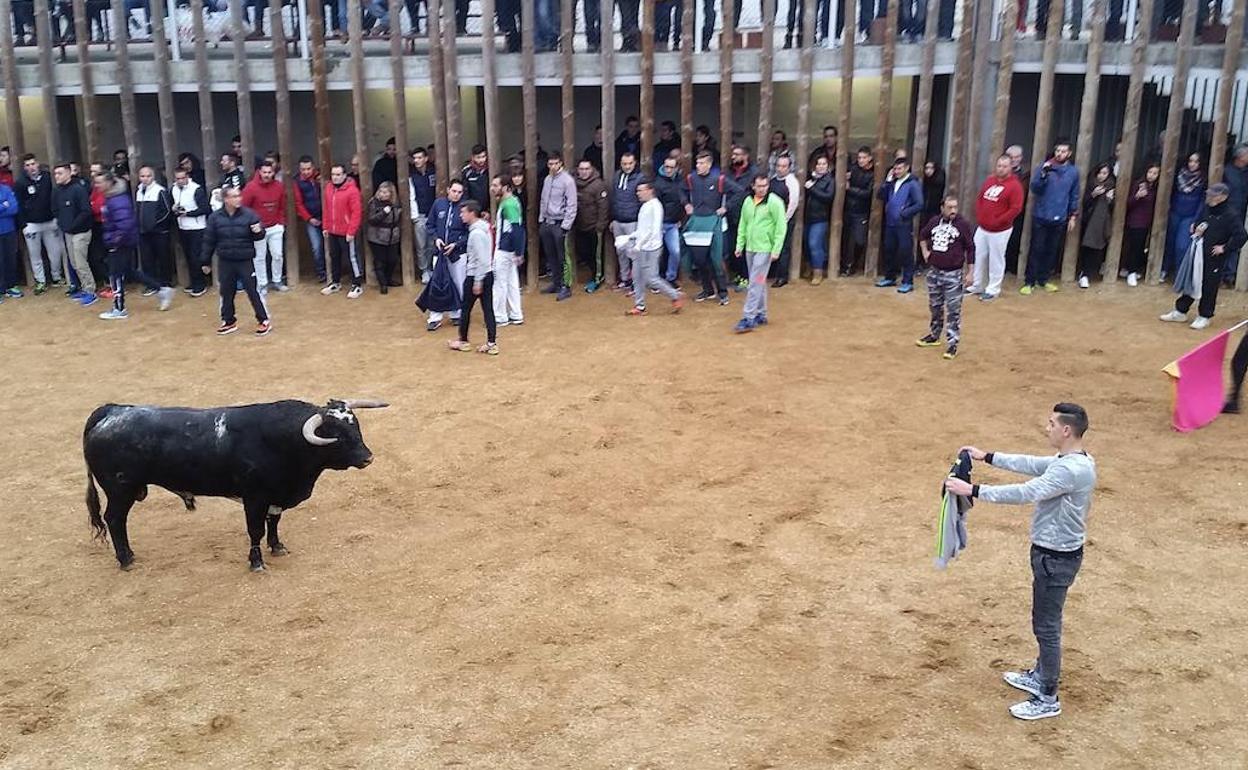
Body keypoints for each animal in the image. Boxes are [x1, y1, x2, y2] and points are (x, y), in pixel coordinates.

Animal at [84, 399, 384, 566]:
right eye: (336, 433)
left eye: (355, 426)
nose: (368, 457)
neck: (284, 440)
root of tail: (109, 412)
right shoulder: (254, 498)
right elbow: (255, 530)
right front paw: (256, 562)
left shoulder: (275, 495)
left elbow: (273, 522)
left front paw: (277, 547)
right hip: (120, 490)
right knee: (114, 519)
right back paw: (126, 559)